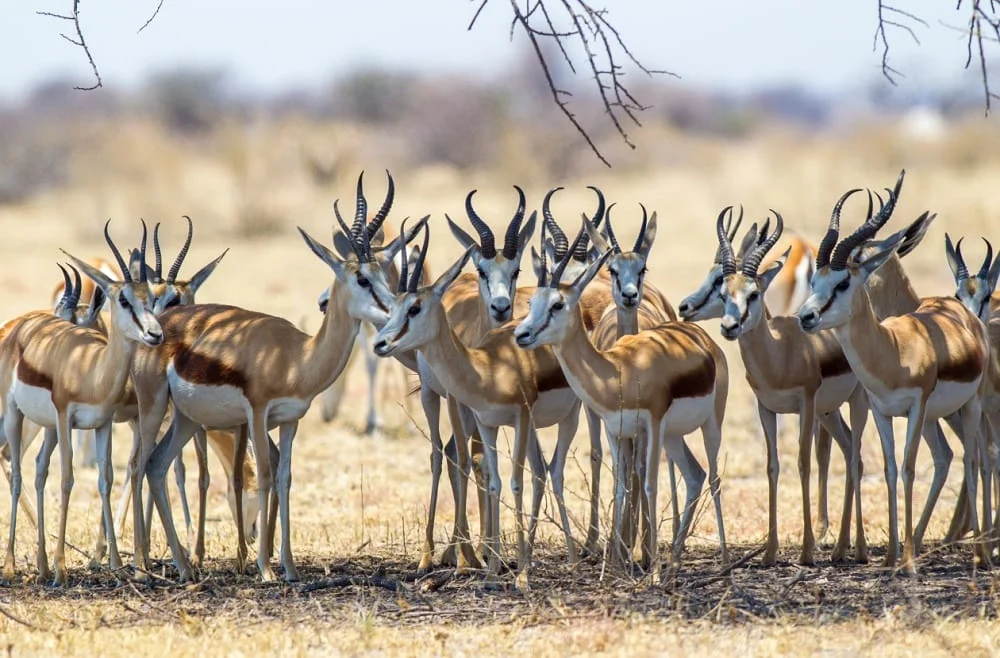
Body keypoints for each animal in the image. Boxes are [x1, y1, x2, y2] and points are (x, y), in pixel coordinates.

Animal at [0, 221, 163, 585]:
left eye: (151, 299)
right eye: (124, 299)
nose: (155, 334)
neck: (91, 368)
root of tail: (21, 327)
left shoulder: (102, 423)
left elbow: (106, 479)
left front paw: (115, 563)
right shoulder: (65, 418)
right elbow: (67, 479)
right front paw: (62, 569)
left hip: (45, 427)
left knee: (37, 470)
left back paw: (42, 565)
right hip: (16, 417)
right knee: (16, 473)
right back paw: (12, 566)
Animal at [131, 172, 417, 582]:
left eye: (384, 276)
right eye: (362, 278)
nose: (396, 311)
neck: (296, 356)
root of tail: (159, 326)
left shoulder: (290, 420)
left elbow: (285, 477)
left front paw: (290, 567)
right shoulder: (256, 413)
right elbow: (265, 475)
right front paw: (265, 568)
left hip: (187, 418)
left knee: (156, 466)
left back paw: (185, 567)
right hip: (153, 407)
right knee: (138, 466)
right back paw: (141, 566)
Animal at [512, 218, 729, 582]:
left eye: (557, 304)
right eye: (532, 304)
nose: (521, 334)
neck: (619, 370)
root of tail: (702, 338)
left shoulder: (651, 425)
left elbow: (650, 484)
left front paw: (650, 571)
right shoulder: (616, 430)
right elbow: (620, 485)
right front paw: (614, 568)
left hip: (709, 424)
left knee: (713, 478)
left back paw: (724, 566)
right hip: (673, 437)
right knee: (695, 476)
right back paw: (674, 561)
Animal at [797, 170, 992, 572]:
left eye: (844, 280)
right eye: (815, 281)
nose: (805, 316)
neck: (894, 350)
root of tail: (963, 312)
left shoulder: (915, 408)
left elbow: (908, 468)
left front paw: (908, 561)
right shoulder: (881, 411)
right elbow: (888, 469)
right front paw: (890, 557)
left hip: (969, 407)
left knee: (974, 459)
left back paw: (980, 554)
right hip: (938, 417)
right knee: (949, 457)